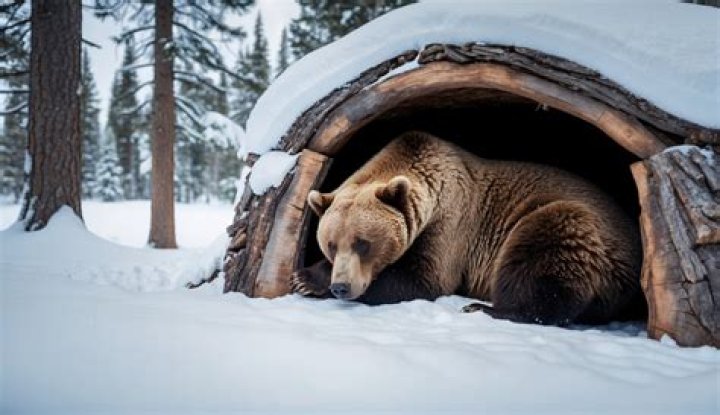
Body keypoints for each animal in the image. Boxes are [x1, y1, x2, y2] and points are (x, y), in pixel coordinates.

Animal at [291, 131, 644, 325]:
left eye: (363, 243)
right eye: (331, 244)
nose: (342, 287)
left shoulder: (450, 226)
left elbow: (424, 279)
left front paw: (313, 283)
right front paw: (304, 279)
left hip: (572, 225)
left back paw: (483, 308)